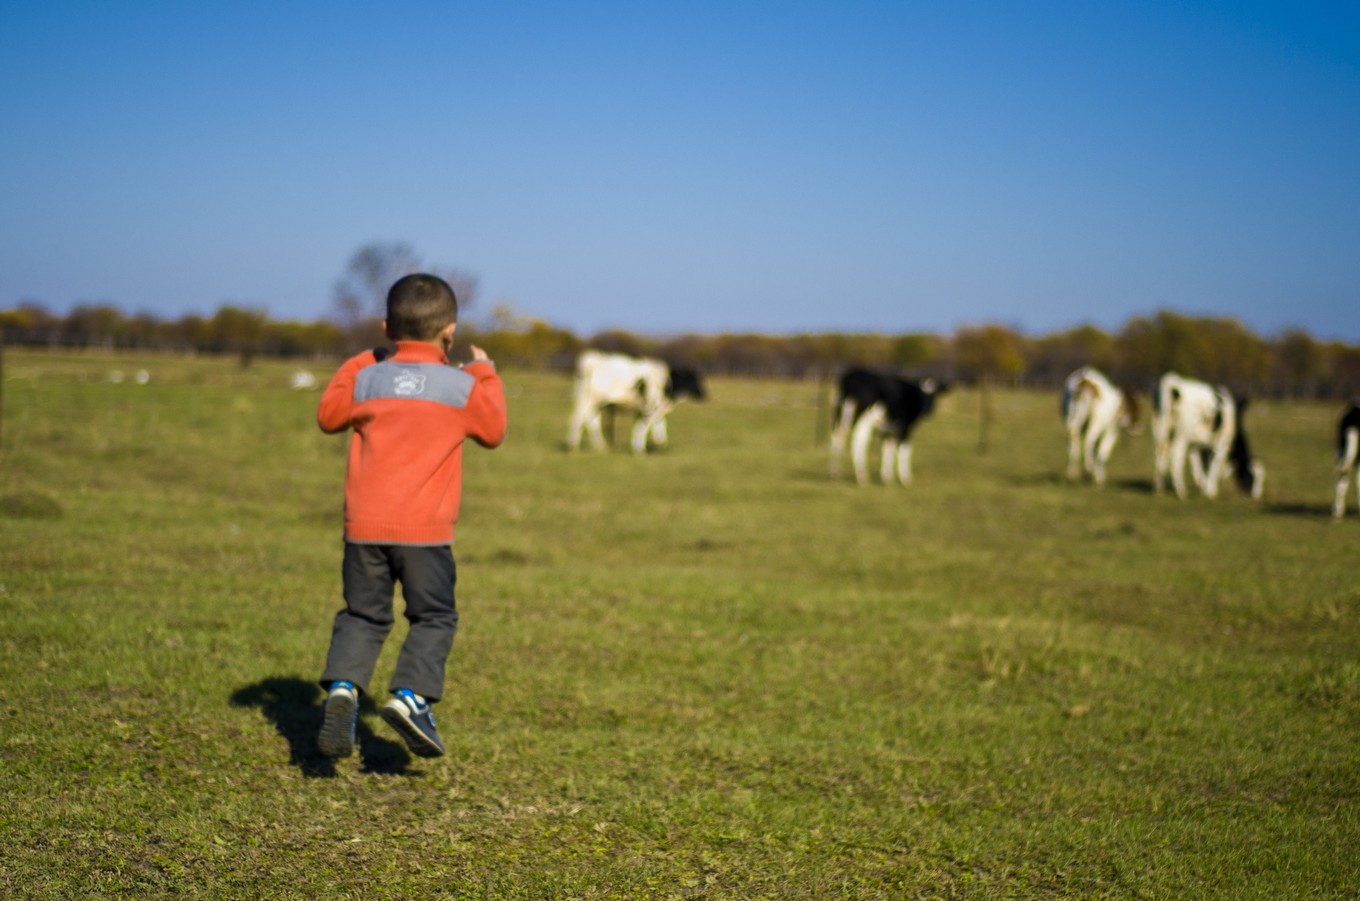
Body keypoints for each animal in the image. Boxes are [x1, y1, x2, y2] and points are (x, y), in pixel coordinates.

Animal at [568, 351, 707, 454]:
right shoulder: (651, 408)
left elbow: (655, 424)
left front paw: (660, 443)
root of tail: (594, 360)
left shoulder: (648, 409)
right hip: (591, 399)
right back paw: (573, 446)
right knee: (579, 418)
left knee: (591, 420)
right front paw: (639, 449)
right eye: (694, 379)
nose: (705, 395)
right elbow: (644, 427)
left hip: (596, 402)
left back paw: (600, 447)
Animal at [1153, 372, 1267, 500]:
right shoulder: (1223, 443)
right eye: (1253, 478)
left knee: (1160, 453)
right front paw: (1210, 491)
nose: (1256, 495)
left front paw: (1203, 486)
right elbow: (1215, 464)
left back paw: (1160, 487)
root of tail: (1172, 382)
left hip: (1160, 427)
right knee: (1175, 457)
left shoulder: (1201, 445)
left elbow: (1203, 466)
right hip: (1181, 434)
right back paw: (1181, 491)